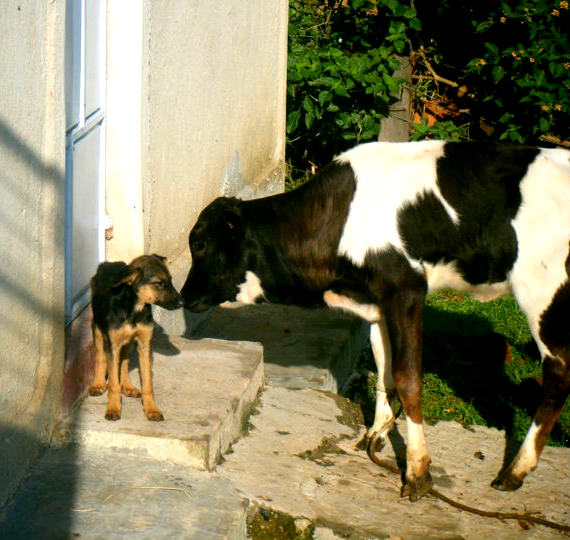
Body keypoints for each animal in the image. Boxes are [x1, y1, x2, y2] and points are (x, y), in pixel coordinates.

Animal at [89, 254, 183, 421]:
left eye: (171, 280)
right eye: (159, 283)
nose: (182, 303)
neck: (134, 308)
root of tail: (107, 263)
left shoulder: (145, 344)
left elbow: (147, 382)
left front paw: (151, 409)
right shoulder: (112, 344)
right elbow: (113, 382)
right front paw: (113, 408)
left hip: (129, 341)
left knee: (124, 361)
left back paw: (127, 386)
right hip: (97, 327)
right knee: (100, 356)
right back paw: (98, 384)